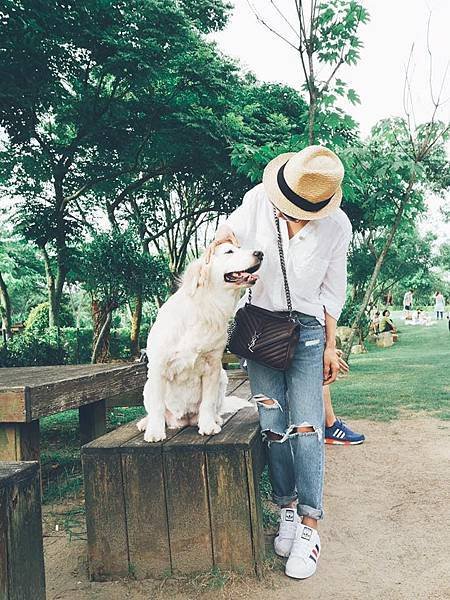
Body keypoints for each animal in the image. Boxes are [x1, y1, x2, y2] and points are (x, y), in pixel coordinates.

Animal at [138, 241, 264, 442]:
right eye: (229, 251)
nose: (260, 253)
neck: (206, 306)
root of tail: (184, 420)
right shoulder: (158, 366)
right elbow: (157, 406)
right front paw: (155, 432)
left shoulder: (213, 366)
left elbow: (208, 402)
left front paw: (208, 426)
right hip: (147, 386)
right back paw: (146, 423)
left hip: (222, 377)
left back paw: (214, 419)